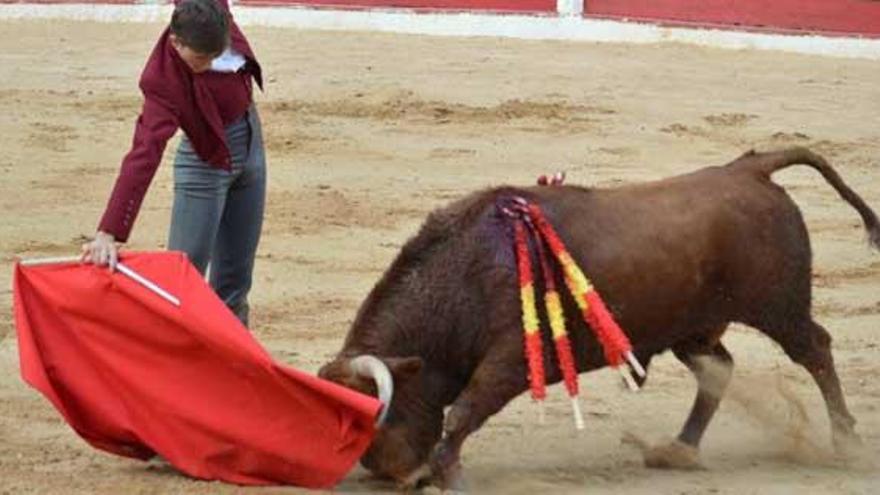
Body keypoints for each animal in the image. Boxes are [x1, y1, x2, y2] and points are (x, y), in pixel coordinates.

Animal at [318, 147, 880, 492]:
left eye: (379, 419)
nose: (404, 477)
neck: (463, 274)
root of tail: (751, 168)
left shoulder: (512, 360)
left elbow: (463, 412)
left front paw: (450, 474)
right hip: (693, 329)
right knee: (719, 368)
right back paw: (678, 450)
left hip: (778, 307)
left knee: (816, 350)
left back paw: (846, 443)